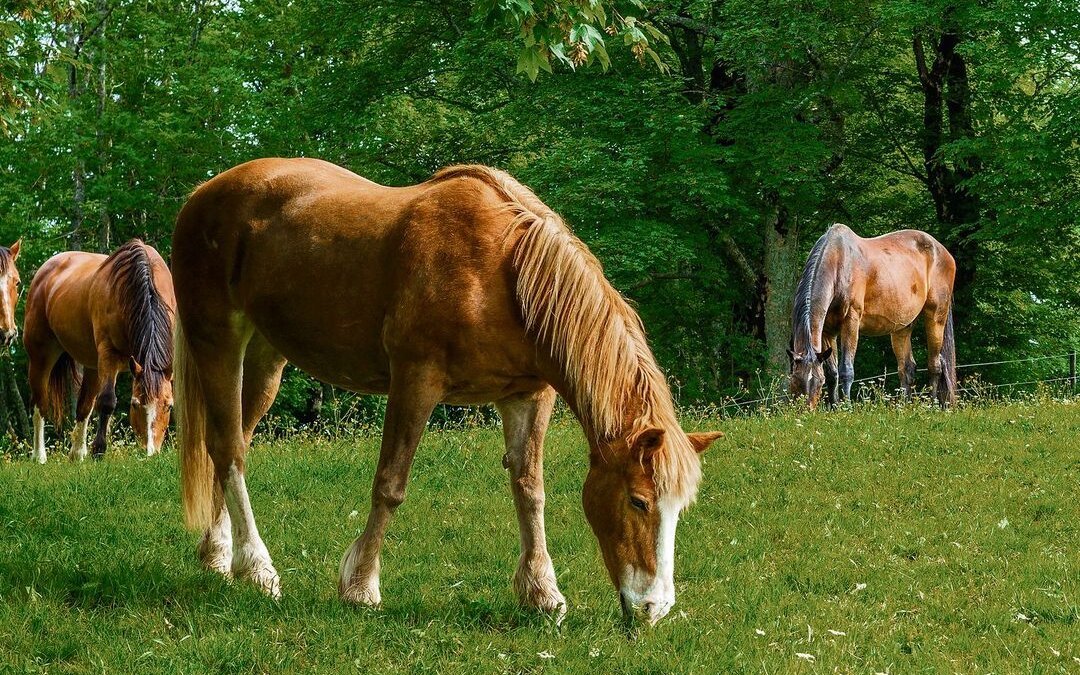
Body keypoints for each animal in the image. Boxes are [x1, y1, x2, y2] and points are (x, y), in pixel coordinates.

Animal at [23, 240, 175, 463]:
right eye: (135, 404)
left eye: (169, 406)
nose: (150, 452)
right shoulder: (108, 355)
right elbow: (107, 401)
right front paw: (99, 450)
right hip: (41, 355)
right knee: (39, 403)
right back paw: (39, 456)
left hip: (93, 366)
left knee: (84, 406)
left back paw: (77, 454)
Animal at [171, 157, 723, 625]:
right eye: (638, 501)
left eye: (679, 509)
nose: (654, 609)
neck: (504, 274)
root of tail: (203, 192)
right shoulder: (416, 381)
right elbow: (390, 484)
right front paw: (360, 586)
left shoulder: (528, 396)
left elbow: (530, 490)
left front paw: (542, 592)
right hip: (217, 339)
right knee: (229, 449)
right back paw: (257, 568)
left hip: (268, 356)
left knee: (229, 444)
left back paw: (219, 554)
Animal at [788, 223, 957, 409]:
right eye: (794, 380)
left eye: (818, 382)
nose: (805, 411)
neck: (839, 264)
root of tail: (942, 250)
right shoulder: (827, 330)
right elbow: (833, 373)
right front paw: (834, 407)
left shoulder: (851, 321)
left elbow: (846, 370)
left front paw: (846, 407)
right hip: (903, 326)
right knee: (907, 368)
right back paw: (904, 406)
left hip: (936, 316)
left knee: (935, 366)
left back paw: (933, 405)